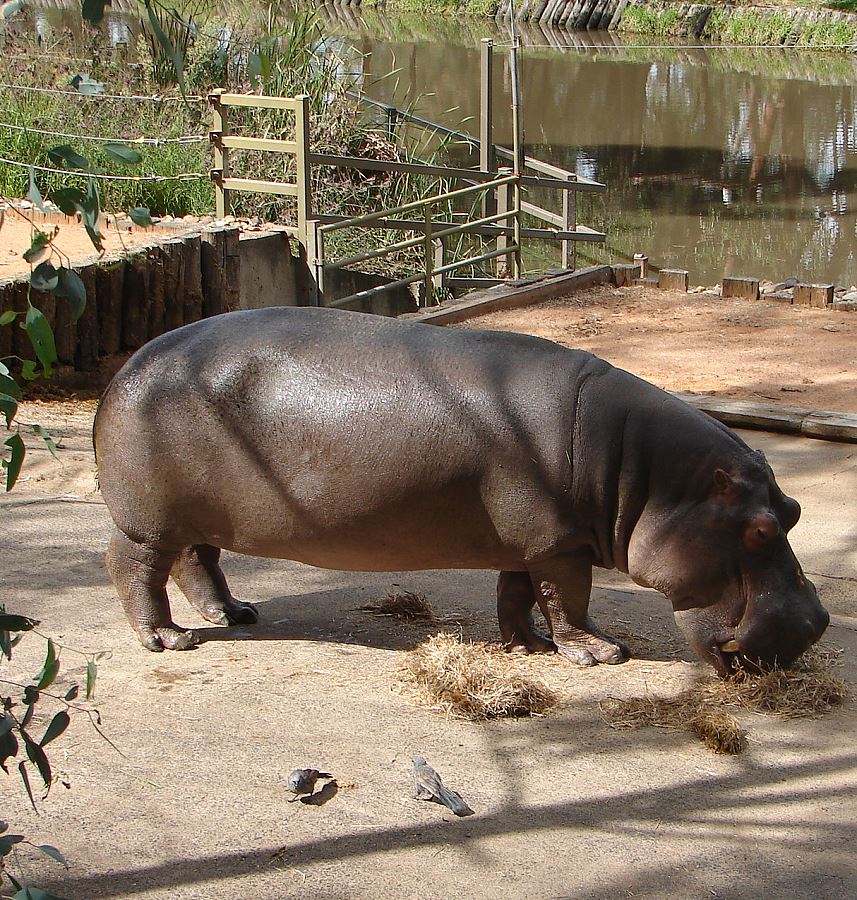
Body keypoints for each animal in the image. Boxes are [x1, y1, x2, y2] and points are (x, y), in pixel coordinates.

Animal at [93, 306, 829, 674]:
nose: (815, 624)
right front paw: (599, 653)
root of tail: (129, 365)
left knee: (199, 561)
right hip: (146, 520)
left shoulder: (533, 541)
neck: (648, 477)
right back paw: (170, 641)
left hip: (198, 515)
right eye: (760, 529)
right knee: (134, 568)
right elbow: (571, 600)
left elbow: (518, 594)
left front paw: (527, 647)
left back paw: (235, 614)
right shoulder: (561, 546)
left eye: (794, 510)